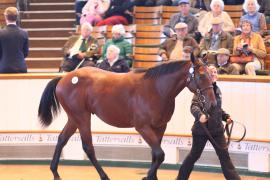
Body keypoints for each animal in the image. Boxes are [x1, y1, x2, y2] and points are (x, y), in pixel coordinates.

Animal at [38, 55, 216, 180]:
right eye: (201, 76)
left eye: (211, 74)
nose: (213, 104)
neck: (156, 89)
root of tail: (64, 78)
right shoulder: (143, 127)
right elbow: (160, 154)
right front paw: (147, 177)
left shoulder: (160, 127)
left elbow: (155, 155)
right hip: (82, 117)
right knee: (88, 147)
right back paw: (104, 176)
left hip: (74, 118)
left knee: (62, 139)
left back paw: (55, 173)